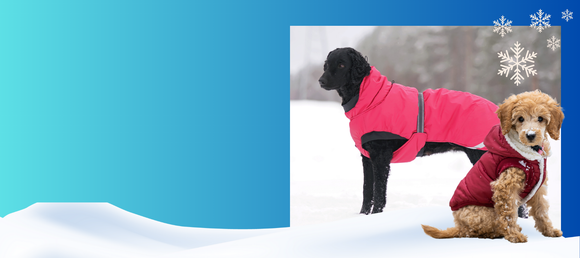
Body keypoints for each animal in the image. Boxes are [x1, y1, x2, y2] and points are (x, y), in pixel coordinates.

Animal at [318, 47, 490, 215]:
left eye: (342, 65)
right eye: (327, 64)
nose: (321, 80)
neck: (370, 98)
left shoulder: (381, 158)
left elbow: (379, 194)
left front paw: (375, 216)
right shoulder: (367, 158)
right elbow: (367, 192)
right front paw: (362, 216)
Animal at [420, 89, 564, 243]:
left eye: (541, 118)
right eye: (520, 119)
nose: (530, 135)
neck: (530, 155)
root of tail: (460, 227)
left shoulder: (538, 189)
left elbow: (541, 210)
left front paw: (549, 231)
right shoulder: (505, 187)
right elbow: (508, 214)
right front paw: (514, 236)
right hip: (484, 212)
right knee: (481, 230)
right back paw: (498, 233)